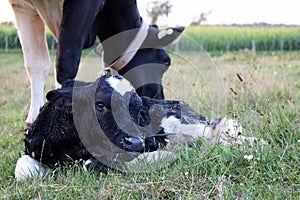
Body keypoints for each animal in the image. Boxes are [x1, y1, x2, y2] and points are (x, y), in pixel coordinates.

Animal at [15, 74, 266, 180]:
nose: (135, 142)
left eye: (137, 110)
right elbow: (23, 170)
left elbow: (93, 164)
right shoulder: (34, 146)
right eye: (100, 105)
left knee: (217, 130)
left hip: (186, 125)